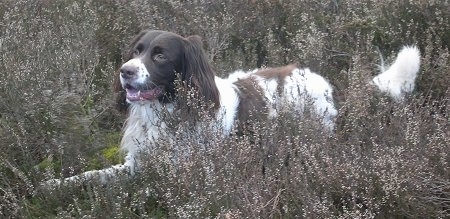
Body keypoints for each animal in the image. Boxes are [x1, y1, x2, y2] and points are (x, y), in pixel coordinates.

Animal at [44, 30, 420, 185]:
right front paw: (52, 185)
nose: (125, 71)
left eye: (160, 55)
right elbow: (90, 176)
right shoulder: (136, 164)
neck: (171, 113)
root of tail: (328, 86)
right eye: (137, 50)